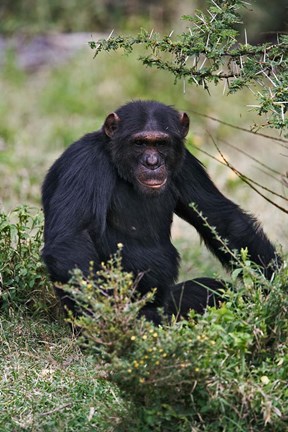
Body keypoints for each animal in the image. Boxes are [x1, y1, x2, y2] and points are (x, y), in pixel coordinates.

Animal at [41, 99, 278, 322]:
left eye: (161, 143)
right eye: (139, 143)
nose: (152, 162)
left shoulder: (186, 163)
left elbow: (220, 218)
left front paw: (275, 289)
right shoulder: (85, 164)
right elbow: (71, 240)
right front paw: (110, 319)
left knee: (214, 290)